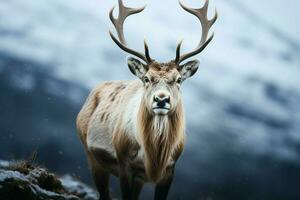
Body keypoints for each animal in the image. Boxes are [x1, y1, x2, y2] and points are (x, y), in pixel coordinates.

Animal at [76, 0, 217, 200]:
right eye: (147, 78)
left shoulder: (170, 169)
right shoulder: (124, 162)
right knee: (103, 193)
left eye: (178, 79)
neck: (154, 157)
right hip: (91, 155)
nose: (161, 99)